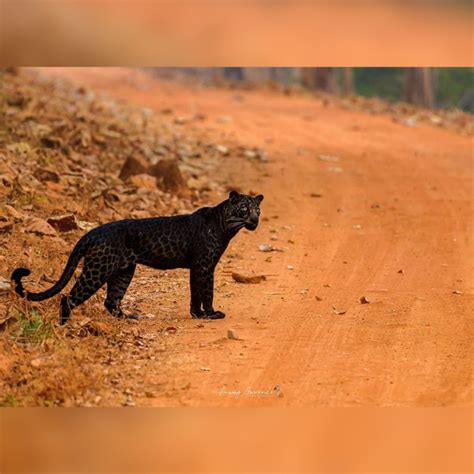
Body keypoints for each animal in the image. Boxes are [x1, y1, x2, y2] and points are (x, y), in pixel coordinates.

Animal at [12, 191, 262, 324]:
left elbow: (195, 293)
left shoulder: (196, 268)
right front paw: (211, 314)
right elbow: (207, 291)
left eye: (257, 210)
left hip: (123, 271)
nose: (254, 220)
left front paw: (197, 314)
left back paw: (128, 317)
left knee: (111, 300)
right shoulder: (204, 266)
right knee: (69, 297)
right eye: (243, 209)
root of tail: (92, 232)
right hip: (98, 270)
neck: (226, 226)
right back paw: (64, 326)